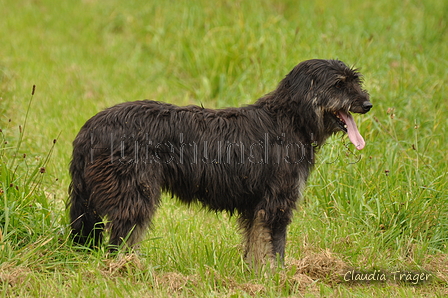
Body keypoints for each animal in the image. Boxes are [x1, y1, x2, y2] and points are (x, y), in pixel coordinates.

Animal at [69, 59, 372, 266]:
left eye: (354, 80)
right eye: (339, 84)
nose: (368, 104)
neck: (290, 120)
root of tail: (89, 128)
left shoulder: (256, 207)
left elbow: (256, 247)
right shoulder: (276, 204)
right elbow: (274, 249)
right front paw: (280, 279)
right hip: (133, 196)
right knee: (120, 241)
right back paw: (128, 269)